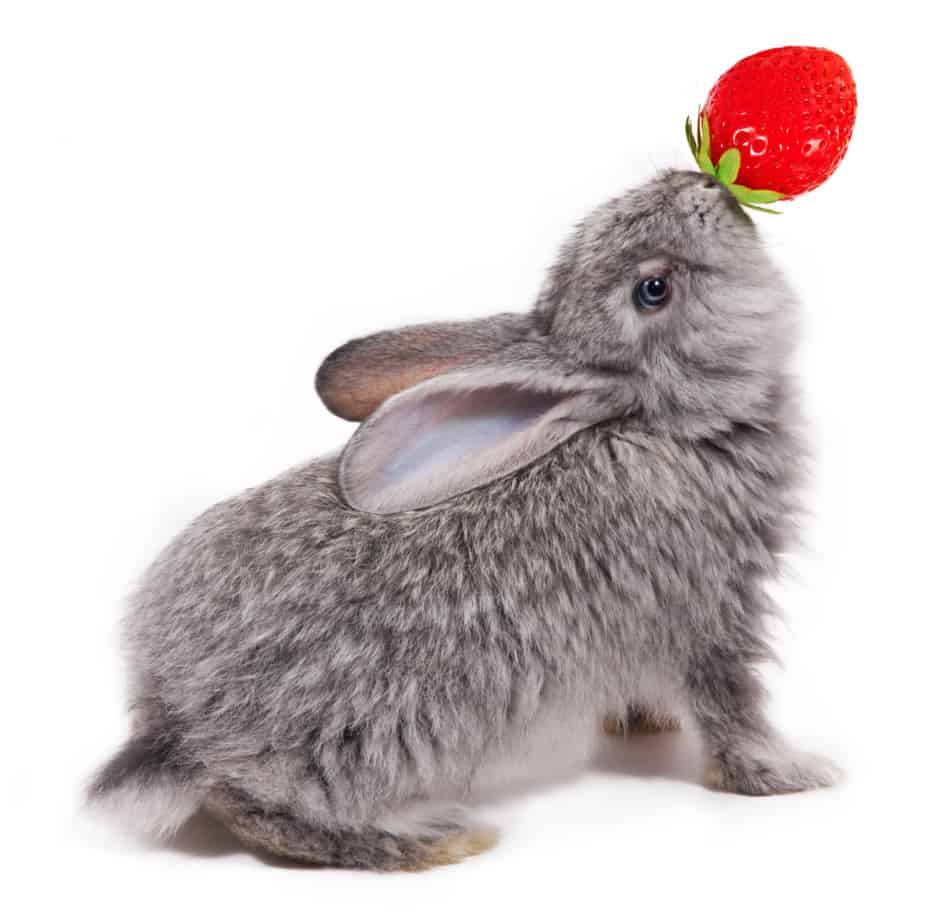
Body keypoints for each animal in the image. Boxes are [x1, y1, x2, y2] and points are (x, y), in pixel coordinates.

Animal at [87, 171, 840, 868]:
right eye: (652, 289)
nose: (701, 182)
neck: (657, 419)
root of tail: (178, 720)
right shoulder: (712, 607)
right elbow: (732, 707)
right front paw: (798, 773)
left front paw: (643, 726)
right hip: (356, 736)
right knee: (268, 805)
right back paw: (428, 838)